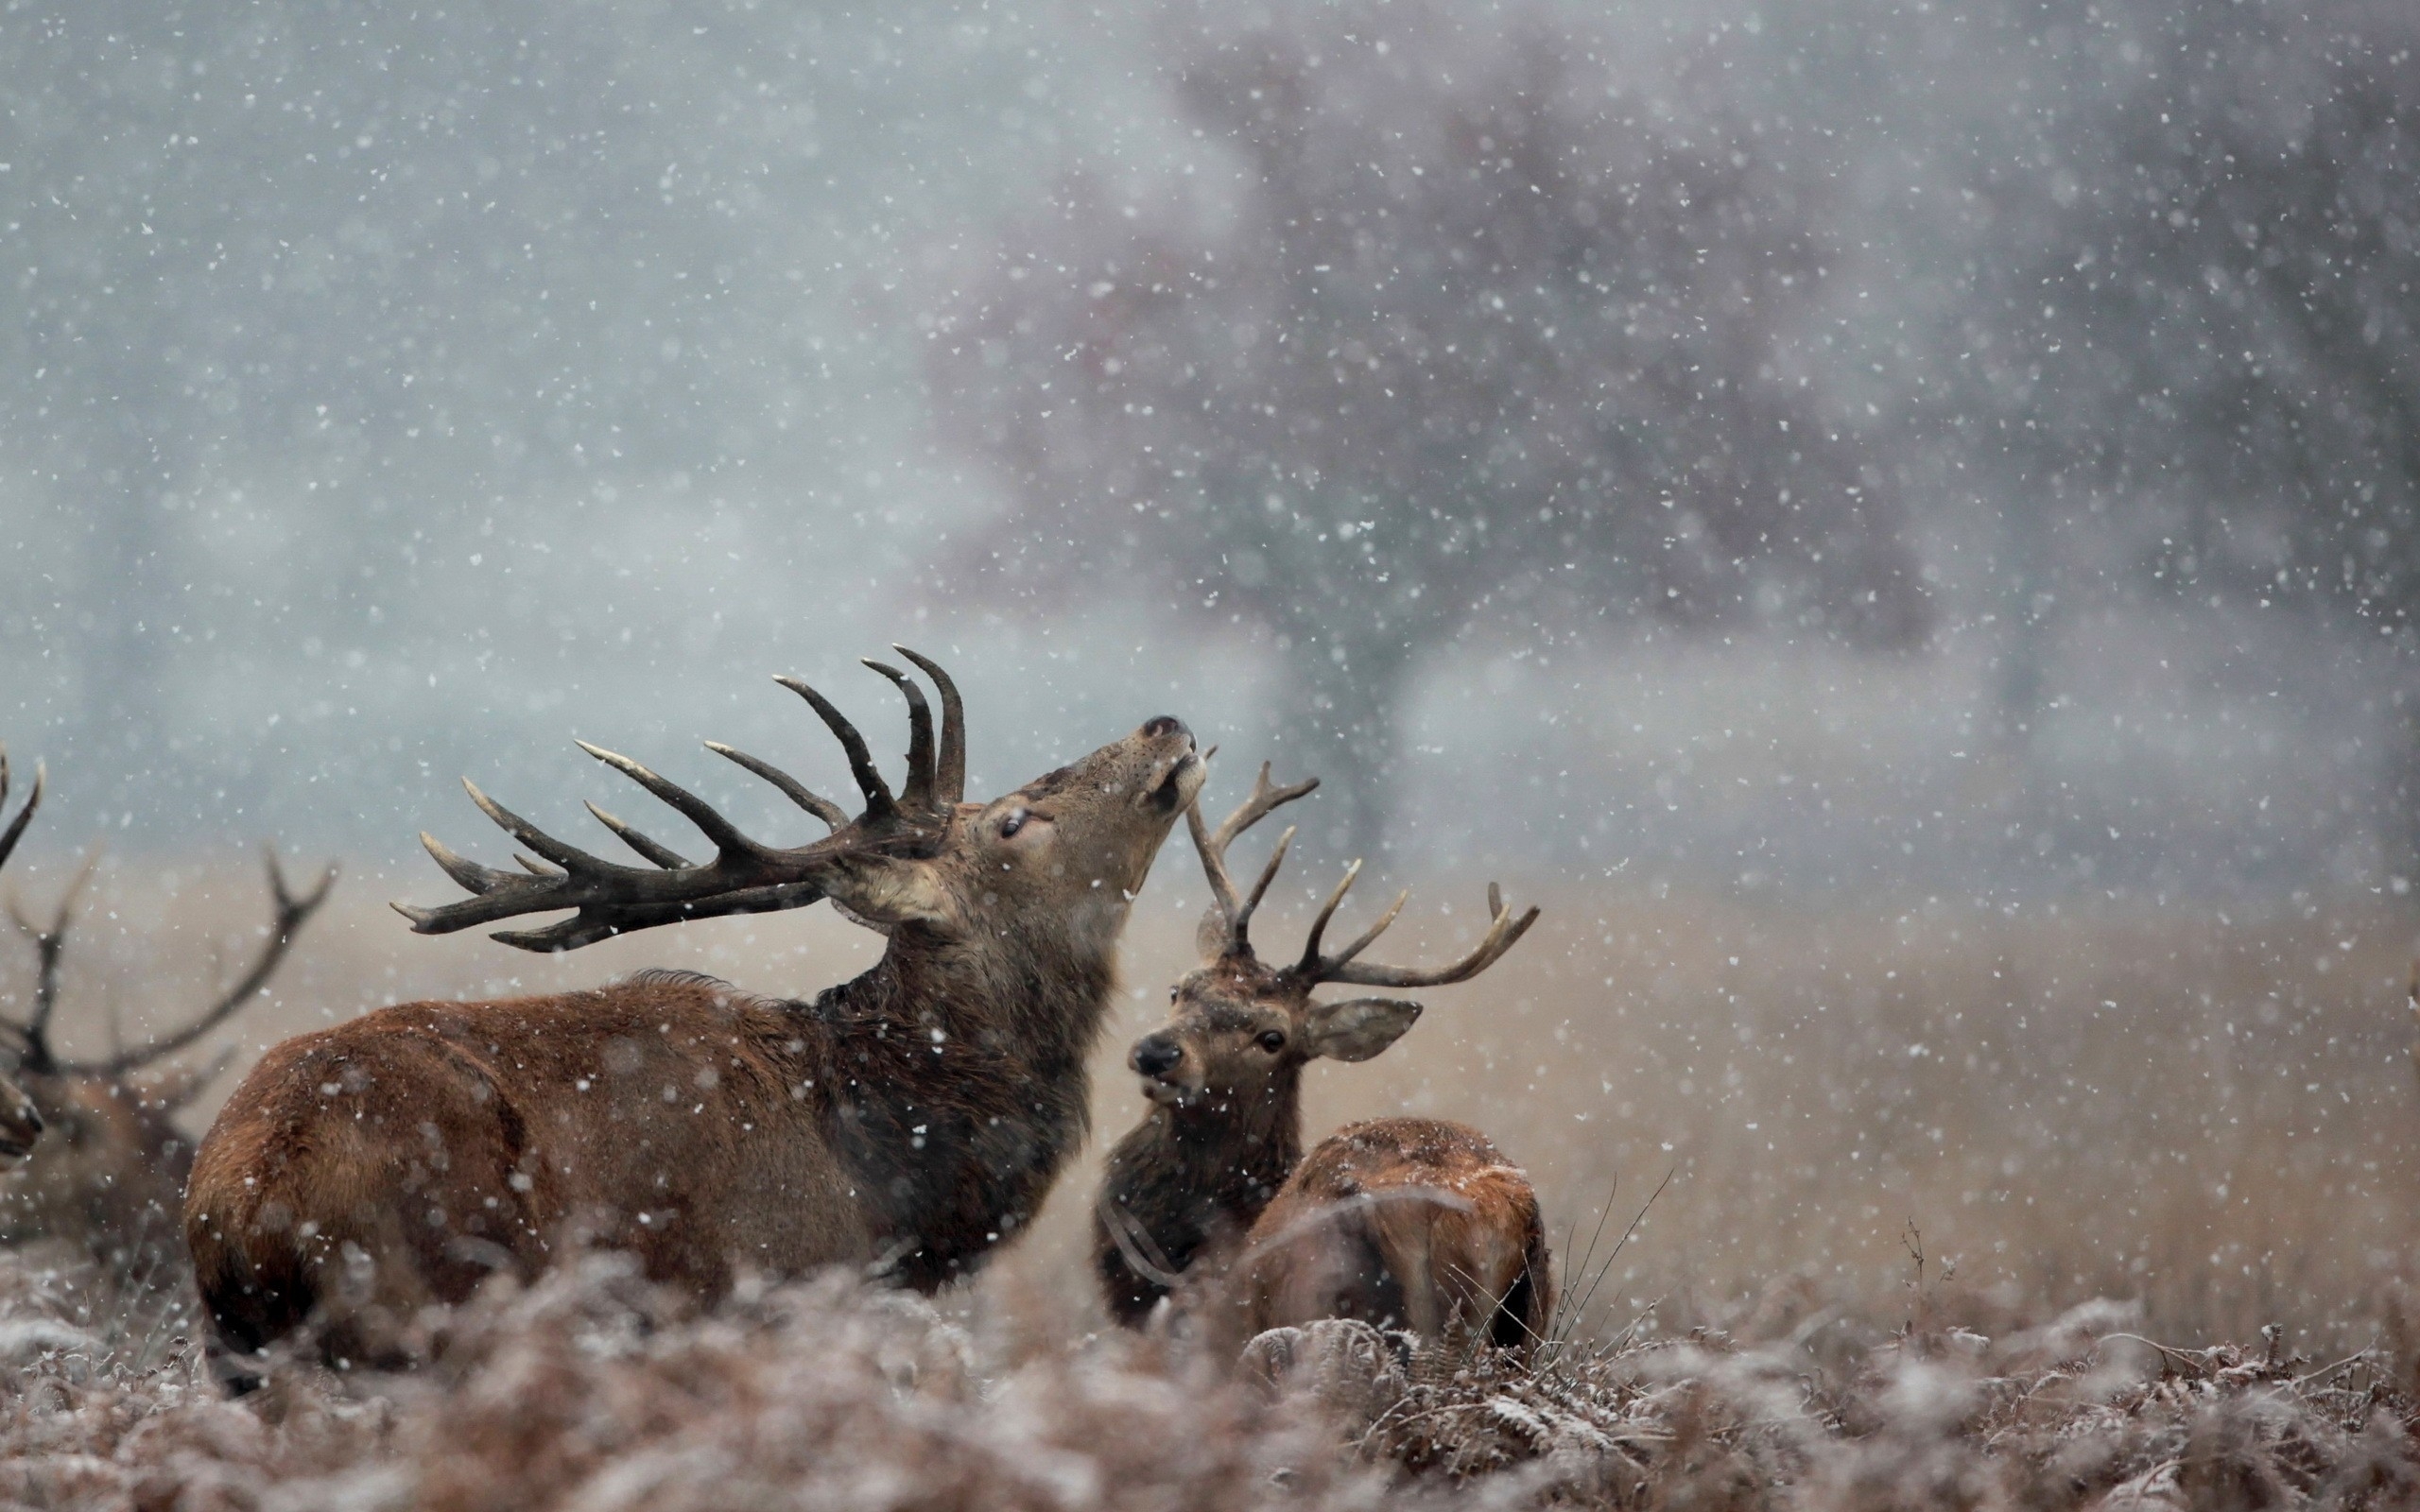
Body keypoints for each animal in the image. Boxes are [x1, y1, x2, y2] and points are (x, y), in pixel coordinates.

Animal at [186, 649, 1204, 1385]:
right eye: (1013, 822)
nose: (1165, 725)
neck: (884, 1189)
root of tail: (240, 1202)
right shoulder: (762, 1294)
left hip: (241, 1358)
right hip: (429, 1309)